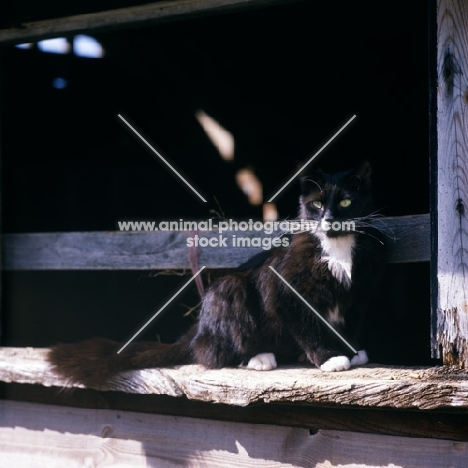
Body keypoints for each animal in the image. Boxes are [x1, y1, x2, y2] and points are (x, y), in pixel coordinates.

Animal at [48, 161, 384, 388]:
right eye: (316, 204)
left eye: (345, 201)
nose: (329, 218)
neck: (337, 247)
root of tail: (197, 332)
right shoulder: (285, 292)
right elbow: (306, 325)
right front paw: (330, 358)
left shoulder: (360, 291)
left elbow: (349, 322)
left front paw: (352, 352)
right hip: (229, 288)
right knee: (214, 353)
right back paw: (259, 358)